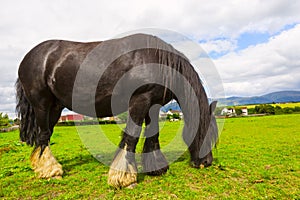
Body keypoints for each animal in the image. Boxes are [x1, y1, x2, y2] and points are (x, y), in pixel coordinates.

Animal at [15, 33, 218, 188]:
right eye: (207, 132)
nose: (206, 162)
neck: (158, 62)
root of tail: (28, 58)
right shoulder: (140, 101)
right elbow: (131, 137)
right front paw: (124, 178)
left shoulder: (152, 106)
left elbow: (152, 136)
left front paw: (156, 168)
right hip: (42, 105)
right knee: (43, 135)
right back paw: (51, 171)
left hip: (55, 108)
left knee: (45, 136)